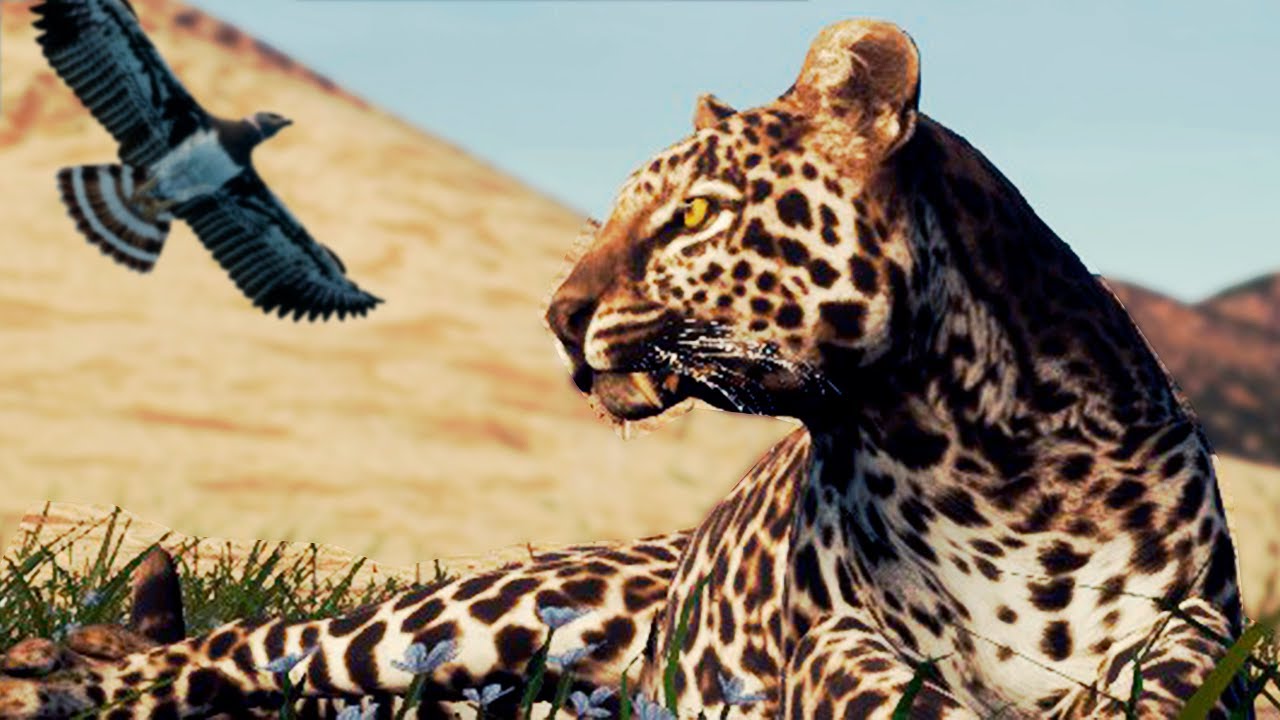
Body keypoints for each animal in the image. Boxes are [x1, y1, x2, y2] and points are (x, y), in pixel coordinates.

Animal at [0, 19, 1249, 720]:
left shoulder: (1193, 627)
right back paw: (50, 679)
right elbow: (903, 696)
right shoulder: (838, 638)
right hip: (452, 616)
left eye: (688, 214)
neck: (976, 455)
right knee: (238, 652)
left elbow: (1170, 687)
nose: (557, 318)